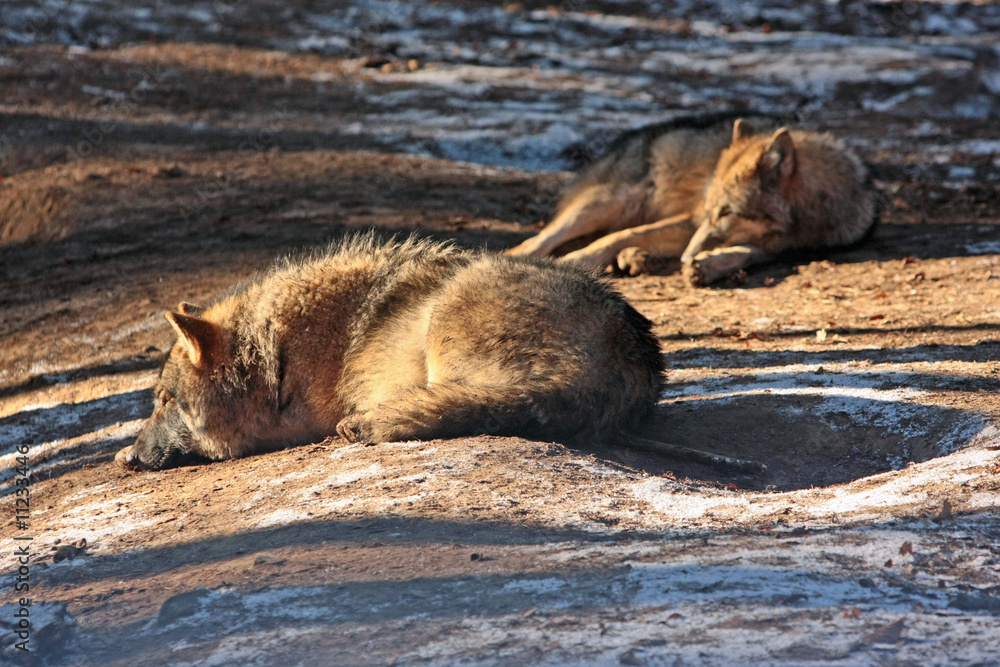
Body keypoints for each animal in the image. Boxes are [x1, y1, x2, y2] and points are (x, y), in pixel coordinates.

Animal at [506, 113, 881, 285]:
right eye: (714, 210)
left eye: (727, 212)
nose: (688, 256)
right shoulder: (694, 218)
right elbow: (621, 235)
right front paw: (578, 260)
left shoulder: (785, 246)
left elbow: (747, 252)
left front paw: (709, 264)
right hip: (608, 203)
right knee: (543, 238)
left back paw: (638, 259)